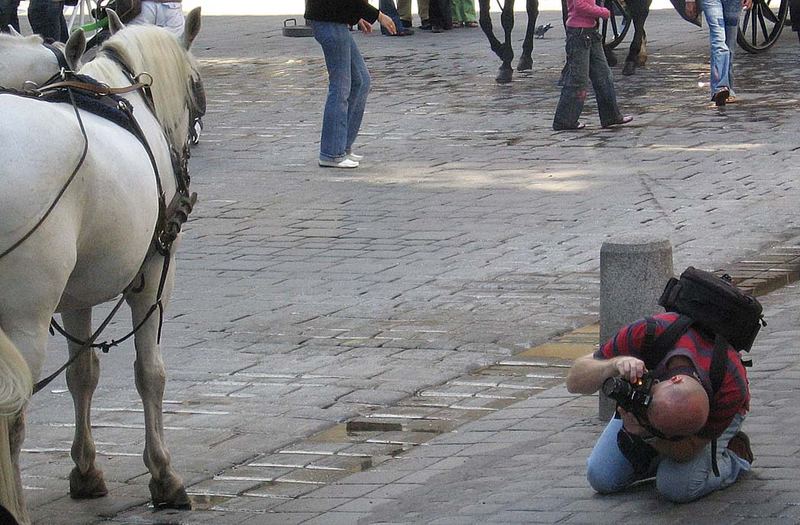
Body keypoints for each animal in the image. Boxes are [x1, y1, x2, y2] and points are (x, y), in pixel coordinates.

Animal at [0, 8, 203, 524]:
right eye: (196, 88)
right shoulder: (156, 275)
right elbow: (150, 373)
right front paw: (163, 475)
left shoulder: (76, 293)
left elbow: (83, 373)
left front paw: (86, 469)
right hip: (23, 320)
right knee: (11, 415)